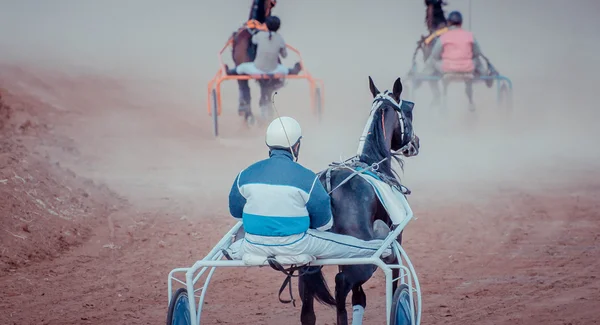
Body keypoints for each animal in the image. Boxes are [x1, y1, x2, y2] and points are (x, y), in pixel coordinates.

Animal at [298, 76, 420, 324]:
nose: (416, 143)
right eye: (409, 111)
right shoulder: (396, 238)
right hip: (363, 256)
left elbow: (359, 299)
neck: (373, 161)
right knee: (342, 283)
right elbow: (395, 279)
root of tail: (328, 184)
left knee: (308, 304)